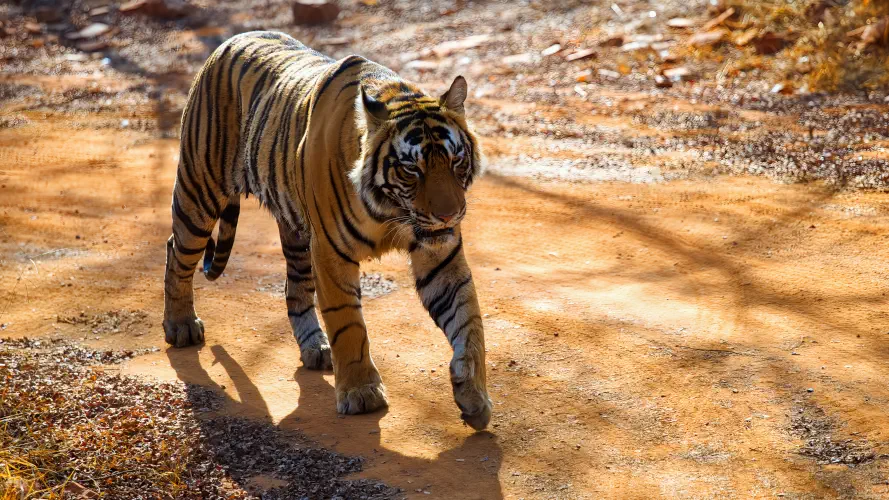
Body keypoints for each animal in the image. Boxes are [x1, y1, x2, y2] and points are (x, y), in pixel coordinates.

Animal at [162, 31, 492, 430]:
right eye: (412, 169)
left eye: (456, 159)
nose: (449, 215)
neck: (390, 211)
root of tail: (229, 41)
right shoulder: (332, 252)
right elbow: (348, 322)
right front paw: (361, 392)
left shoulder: (440, 254)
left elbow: (468, 318)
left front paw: (472, 392)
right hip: (199, 192)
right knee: (176, 250)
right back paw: (181, 326)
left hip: (296, 232)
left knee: (294, 288)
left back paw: (315, 347)